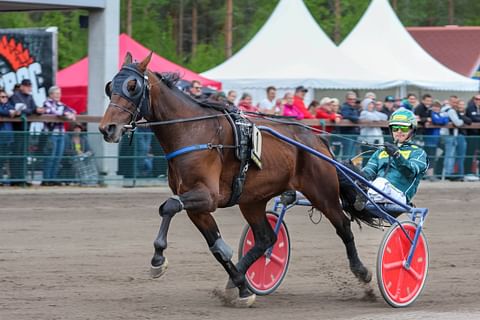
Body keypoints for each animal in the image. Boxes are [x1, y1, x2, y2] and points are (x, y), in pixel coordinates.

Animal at [98, 53, 372, 308]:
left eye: (132, 86)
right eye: (110, 86)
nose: (107, 128)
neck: (192, 132)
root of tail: (318, 139)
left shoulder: (206, 196)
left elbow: (169, 206)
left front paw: (158, 259)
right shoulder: (197, 207)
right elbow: (216, 247)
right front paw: (241, 287)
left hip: (322, 191)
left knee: (343, 226)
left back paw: (363, 273)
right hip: (252, 200)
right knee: (266, 239)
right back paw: (240, 276)